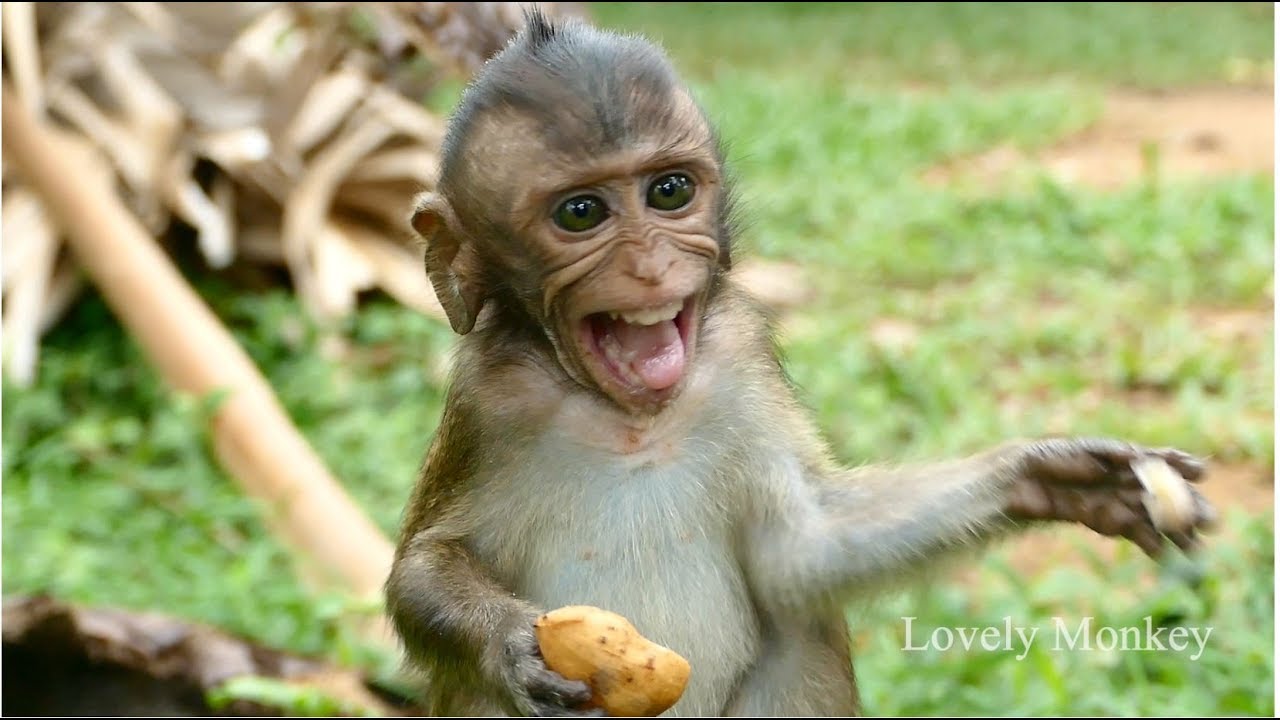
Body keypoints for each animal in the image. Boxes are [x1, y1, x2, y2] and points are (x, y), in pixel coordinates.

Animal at [384, 11, 1215, 718]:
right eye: (581, 213)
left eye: (669, 192)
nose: (650, 266)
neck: (634, 422)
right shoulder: (489, 401)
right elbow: (420, 568)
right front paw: (511, 643)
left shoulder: (738, 357)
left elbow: (802, 552)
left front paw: (1054, 477)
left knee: (799, 630)